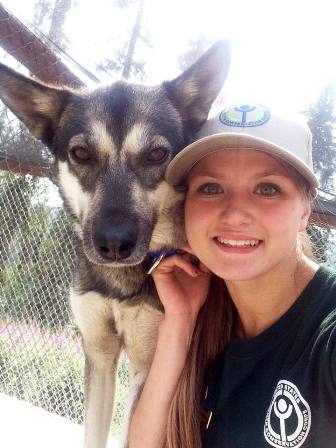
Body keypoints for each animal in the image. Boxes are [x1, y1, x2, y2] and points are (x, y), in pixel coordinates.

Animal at [0, 40, 230, 446]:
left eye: (156, 154)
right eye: (81, 153)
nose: (113, 244)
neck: (120, 285)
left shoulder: (147, 367)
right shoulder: (99, 354)